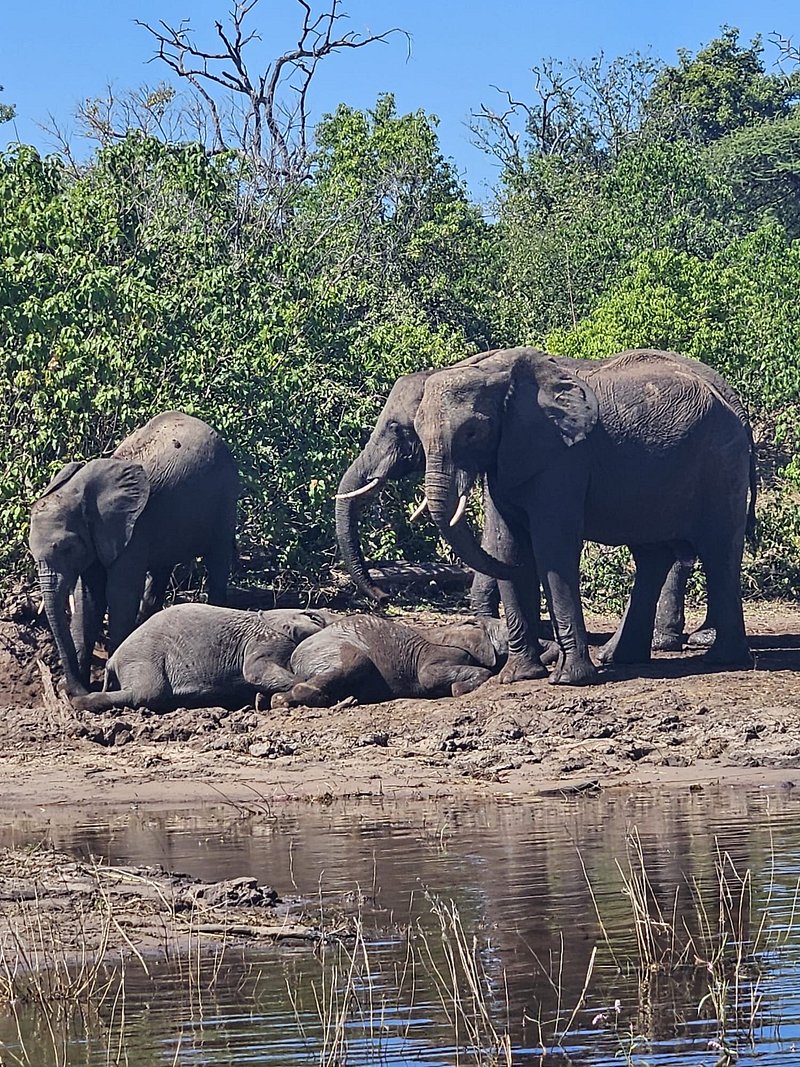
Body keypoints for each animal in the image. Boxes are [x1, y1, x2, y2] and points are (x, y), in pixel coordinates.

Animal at [29, 411, 240, 699]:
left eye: (67, 548)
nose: (68, 690)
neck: (79, 490)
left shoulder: (133, 529)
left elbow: (120, 595)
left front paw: (111, 684)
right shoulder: (100, 537)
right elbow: (88, 598)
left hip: (224, 500)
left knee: (217, 561)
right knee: (160, 572)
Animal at [72, 605, 331, 713]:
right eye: (315, 618)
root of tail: (111, 660)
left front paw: (259, 700)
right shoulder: (266, 639)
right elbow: (255, 672)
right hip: (142, 657)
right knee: (147, 693)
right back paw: (82, 703)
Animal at [271, 614, 509, 708]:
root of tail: (294, 658)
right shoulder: (440, 653)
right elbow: (428, 677)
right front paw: (458, 689)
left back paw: (280, 701)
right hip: (330, 650)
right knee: (355, 662)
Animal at [334, 351, 754, 651]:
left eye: (398, 430)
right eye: (413, 432)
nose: (383, 596)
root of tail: (737, 407)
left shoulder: (558, 456)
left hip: (718, 464)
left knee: (715, 547)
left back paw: (707, 651)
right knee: (658, 553)